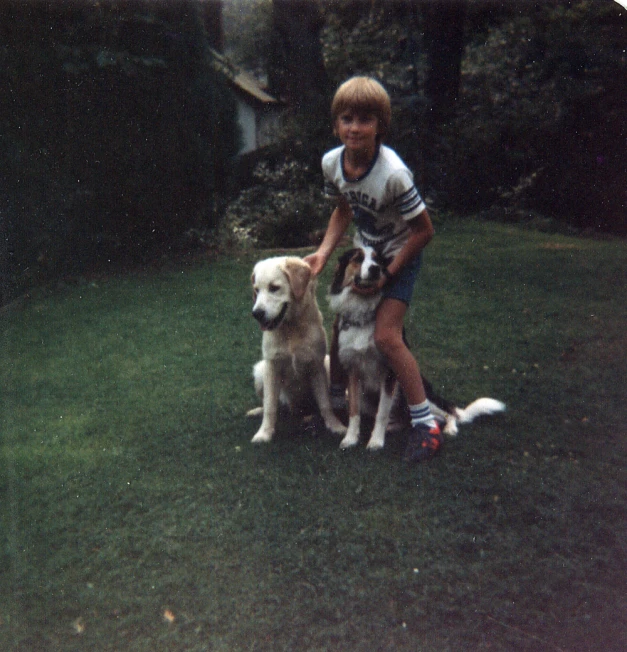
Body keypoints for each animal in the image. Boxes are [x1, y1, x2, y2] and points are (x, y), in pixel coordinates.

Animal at [248, 255, 348, 444]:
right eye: (257, 290)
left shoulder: (316, 365)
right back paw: (257, 411)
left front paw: (335, 425)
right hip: (259, 370)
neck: (291, 328)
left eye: (274, 288)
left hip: (328, 363)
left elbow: (325, 403)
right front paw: (264, 433)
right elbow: (270, 406)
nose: (256, 314)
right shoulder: (271, 366)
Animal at [328, 247, 506, 450]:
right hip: (370, 399)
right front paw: (350, 438)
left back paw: (449, 428)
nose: (375, 269)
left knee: (448, 412)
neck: (362, 309)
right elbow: (354, 412)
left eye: (377, 261)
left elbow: (382, 412)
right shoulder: (353, 371)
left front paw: (376, 441)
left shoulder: (390, 372)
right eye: (357, 259)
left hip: (416, 393)